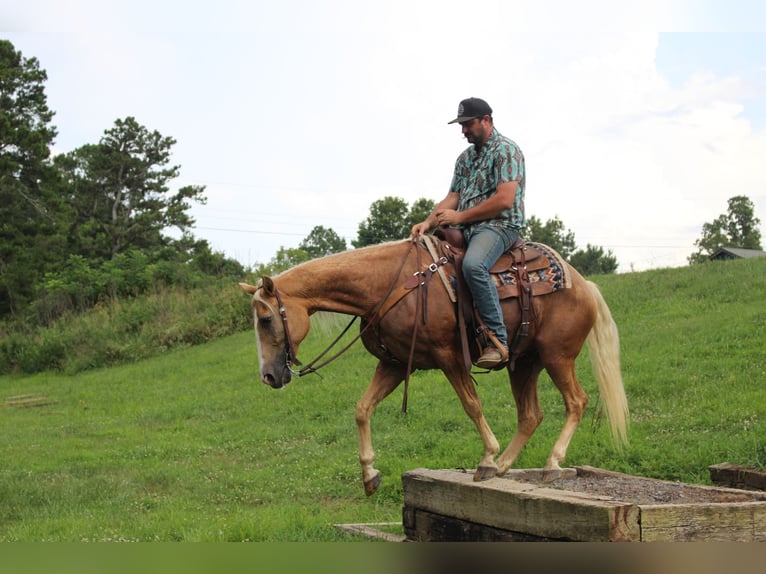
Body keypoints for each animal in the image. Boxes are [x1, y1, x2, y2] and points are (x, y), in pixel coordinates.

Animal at [239, 237, 628, 496]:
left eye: (266, 320)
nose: (268, 376)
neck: (391, 284)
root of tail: (583, 283)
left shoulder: (449, 357)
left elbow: (472, 405)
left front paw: (487, 457)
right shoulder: (394, 364)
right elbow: (362, 409)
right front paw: (369, 474)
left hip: (557, 356)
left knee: (576, 402)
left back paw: (549, 465)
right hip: (524, 363)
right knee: (530, 415)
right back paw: (505, 468)